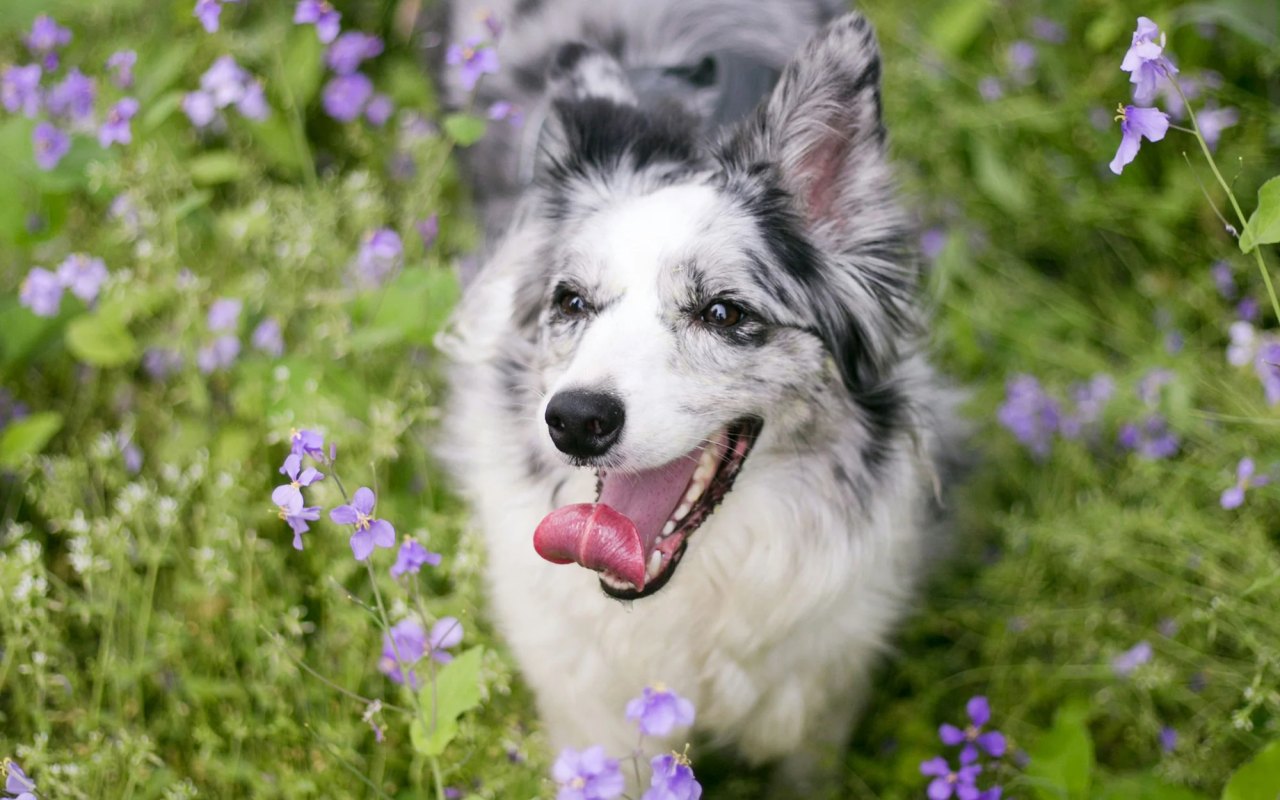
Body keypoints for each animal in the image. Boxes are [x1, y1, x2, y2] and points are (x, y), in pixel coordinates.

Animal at [437, 0, 962, 788]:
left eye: (722, 312)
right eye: (571, 302)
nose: (575, 420)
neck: (695, 594)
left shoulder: (819, 697)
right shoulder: (590, 712)